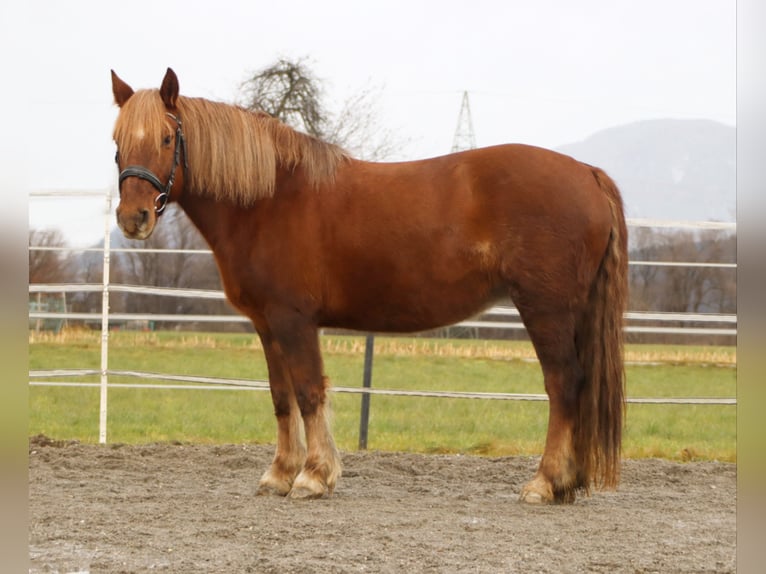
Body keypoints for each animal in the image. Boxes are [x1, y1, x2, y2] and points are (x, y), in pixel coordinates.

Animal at [114, 70, 632, 506]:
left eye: (165, 137)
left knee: (563, 384)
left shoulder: (294, 319)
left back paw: (545, 483)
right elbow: (282, 397)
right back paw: (569, 482)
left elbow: (309, 392)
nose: (132, 218)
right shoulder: (266, 323)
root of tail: (587, 173)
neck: (269, 199)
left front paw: (313, 477)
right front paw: (279, 474)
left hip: (545, 310)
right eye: (117, 141)